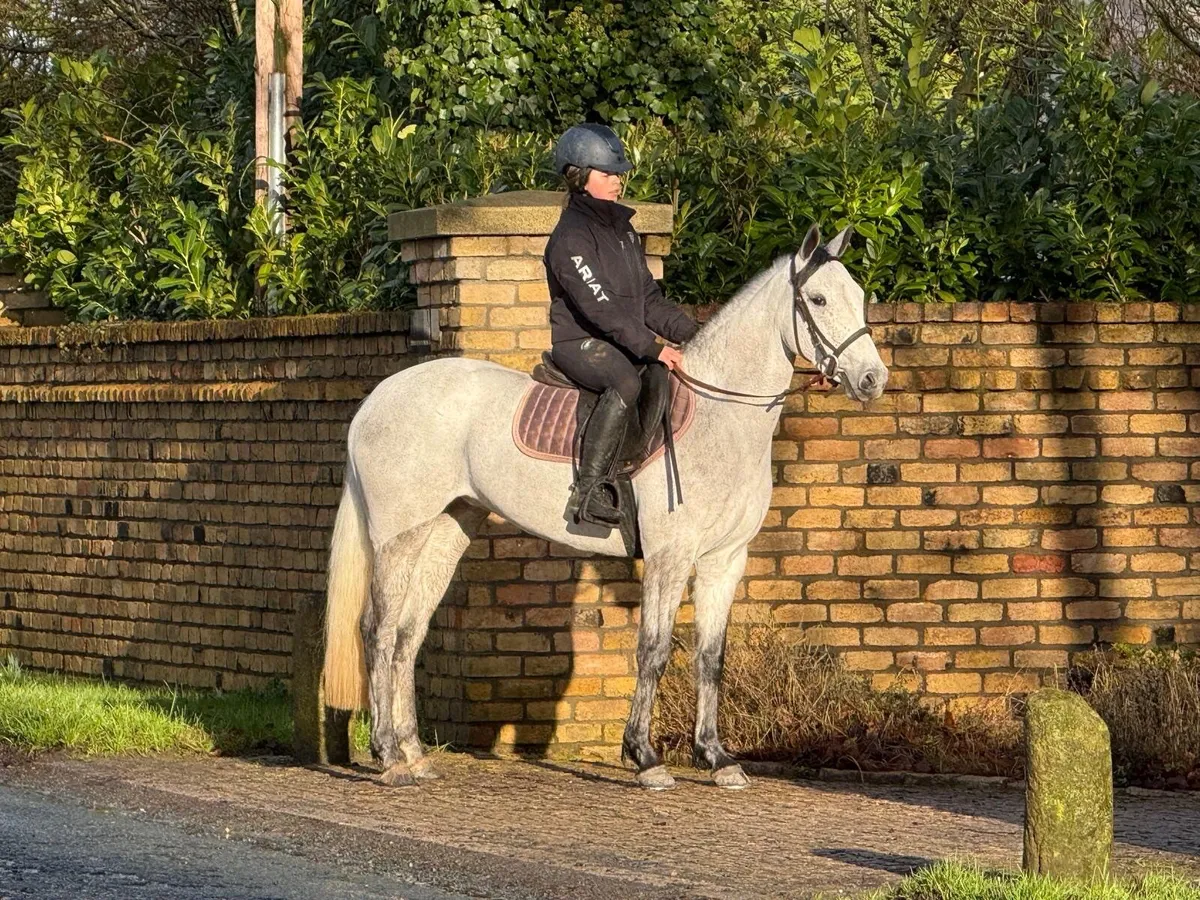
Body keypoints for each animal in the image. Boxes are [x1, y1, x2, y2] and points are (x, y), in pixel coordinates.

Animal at [321, 223, 889, 790]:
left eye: (859, 295)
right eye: (818, 299)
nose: (872, 380)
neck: (719, 415)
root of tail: (377, 398)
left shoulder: (724, 560)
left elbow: (710, 657)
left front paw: (717, 758)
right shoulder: (670, 557)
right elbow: (653, 651)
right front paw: (645, 757)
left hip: (445, 531)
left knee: (407, 635)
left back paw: (415, 754)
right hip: (398, 537)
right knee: (377, 631)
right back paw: (389, 757)